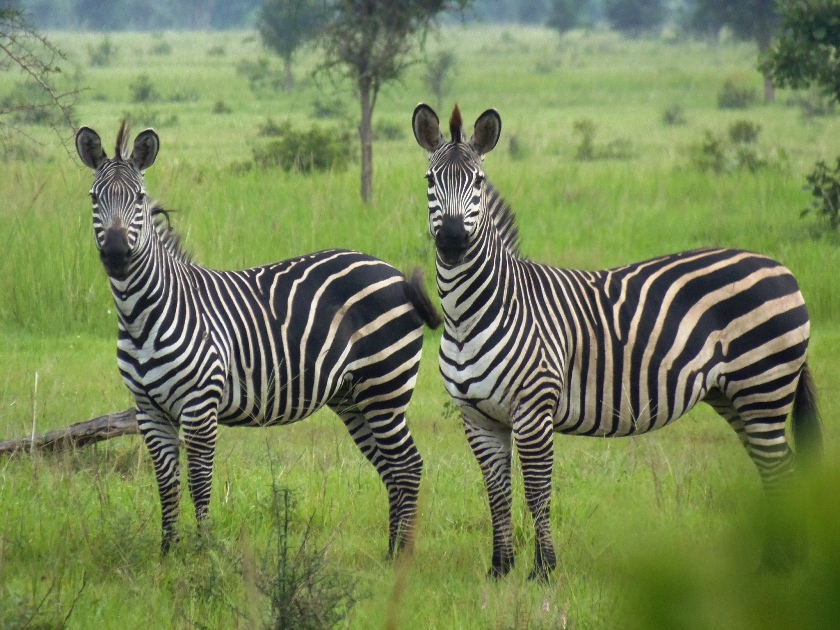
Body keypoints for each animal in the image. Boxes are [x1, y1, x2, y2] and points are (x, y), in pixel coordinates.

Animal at [75, 121, 442, 556]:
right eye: (94, 197)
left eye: (139, 198)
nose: (115, 253)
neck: (142, 315)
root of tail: (395, 273)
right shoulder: (148, 411)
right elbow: (166, 487)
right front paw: (166, 553)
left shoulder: (200, 406)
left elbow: (199, 483)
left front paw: (204, 552)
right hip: (353, 397)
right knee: (392, 468)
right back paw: (390, 552)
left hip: (385, 387)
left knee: (408, 465)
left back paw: (401, 555)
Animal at [412, 103, 822, 580]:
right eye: (430, 180)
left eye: (477, 182)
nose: (452, 241)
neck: (474, 313)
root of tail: (782, 269)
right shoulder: (477, 418)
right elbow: (496, 494)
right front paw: (500, 571)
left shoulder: (533, 410)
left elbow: (537, 492)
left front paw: (544, 572)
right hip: (736, 395)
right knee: (776, 469)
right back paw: (779, 563)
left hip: (763, 386)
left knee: (781, 471)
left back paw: (781, 567)